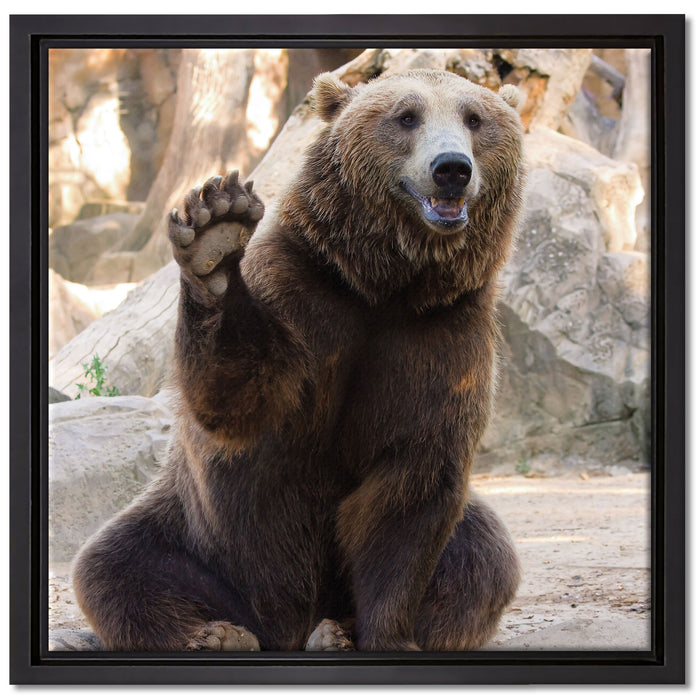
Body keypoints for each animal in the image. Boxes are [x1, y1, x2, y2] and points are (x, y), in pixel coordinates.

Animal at [72, 68, 525, 653]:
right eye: (406, 116)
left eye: (475, 118)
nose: (451, 169)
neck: (385, 286)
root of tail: (284, 625)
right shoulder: (302, 294)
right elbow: (240, 398)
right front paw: (216, 234)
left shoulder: (442, 337)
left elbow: (412, 490)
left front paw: (385, 634)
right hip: (197, 536)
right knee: (116, 566)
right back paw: (218, 634)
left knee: (483, 557)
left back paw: (333, 629)